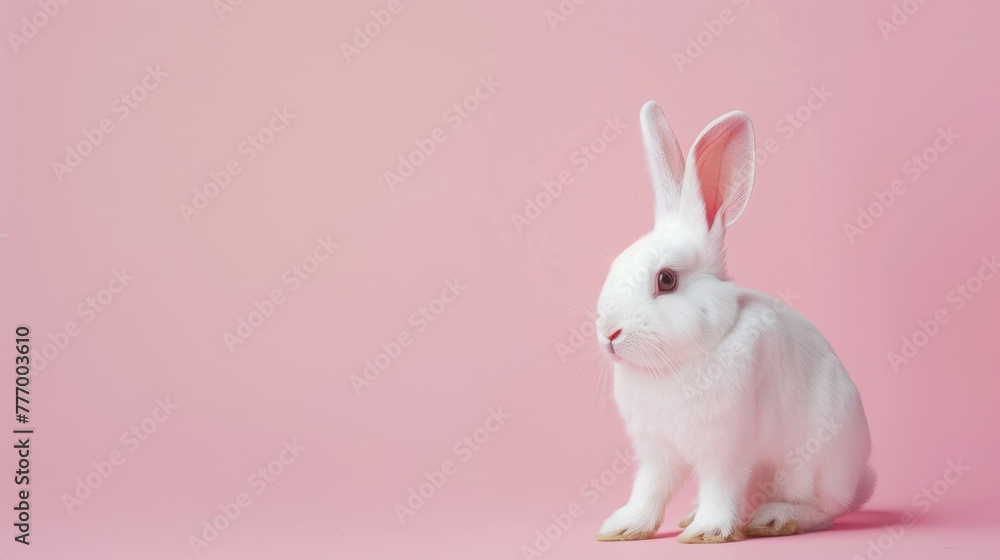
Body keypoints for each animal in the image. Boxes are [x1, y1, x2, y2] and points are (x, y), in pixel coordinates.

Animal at [593, 101, 875, 544]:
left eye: (666, 280)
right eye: (616, 264)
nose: (609, 333)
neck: (677, 363)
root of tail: (858, 481)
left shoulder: (725, 446)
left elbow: (720, 485)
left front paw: (707, 533)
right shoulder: (656, 452)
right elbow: (649, 489)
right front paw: (623, 528)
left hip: (808, 466)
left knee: (821, 510)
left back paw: (772, 519)